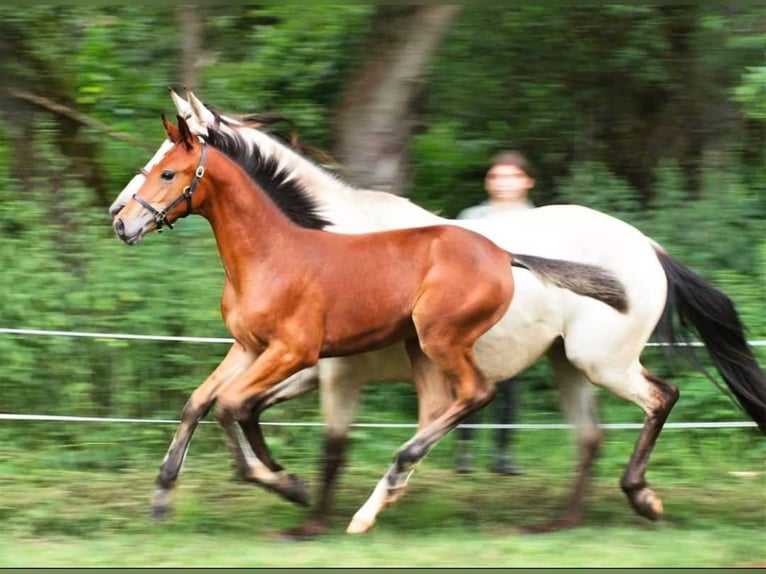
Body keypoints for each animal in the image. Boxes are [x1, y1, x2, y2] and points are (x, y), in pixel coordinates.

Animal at [108, 89, 766, 536]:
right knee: (585, 434)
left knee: (656, 397)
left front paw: (300, 504)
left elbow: (291, 429)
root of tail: (651, 248)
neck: (306, 236)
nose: (119, 218)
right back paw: (556, 520)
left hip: (591, 359)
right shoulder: (269, 353)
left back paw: (638, 496)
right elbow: (208, 404)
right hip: (558, 363)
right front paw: (170, 493)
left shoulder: (319, 363)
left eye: (168, 168)